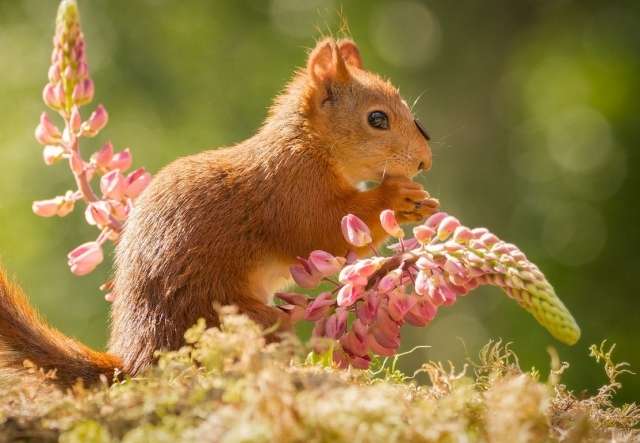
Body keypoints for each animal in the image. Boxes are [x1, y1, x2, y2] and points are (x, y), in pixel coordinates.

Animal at [0, 37, 436, 386]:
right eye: (377, 118)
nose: (424, 162)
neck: (309, 145)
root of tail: (137, 361)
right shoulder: (292, 192)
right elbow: (324, 231)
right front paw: (398, 197)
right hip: (239, 320)